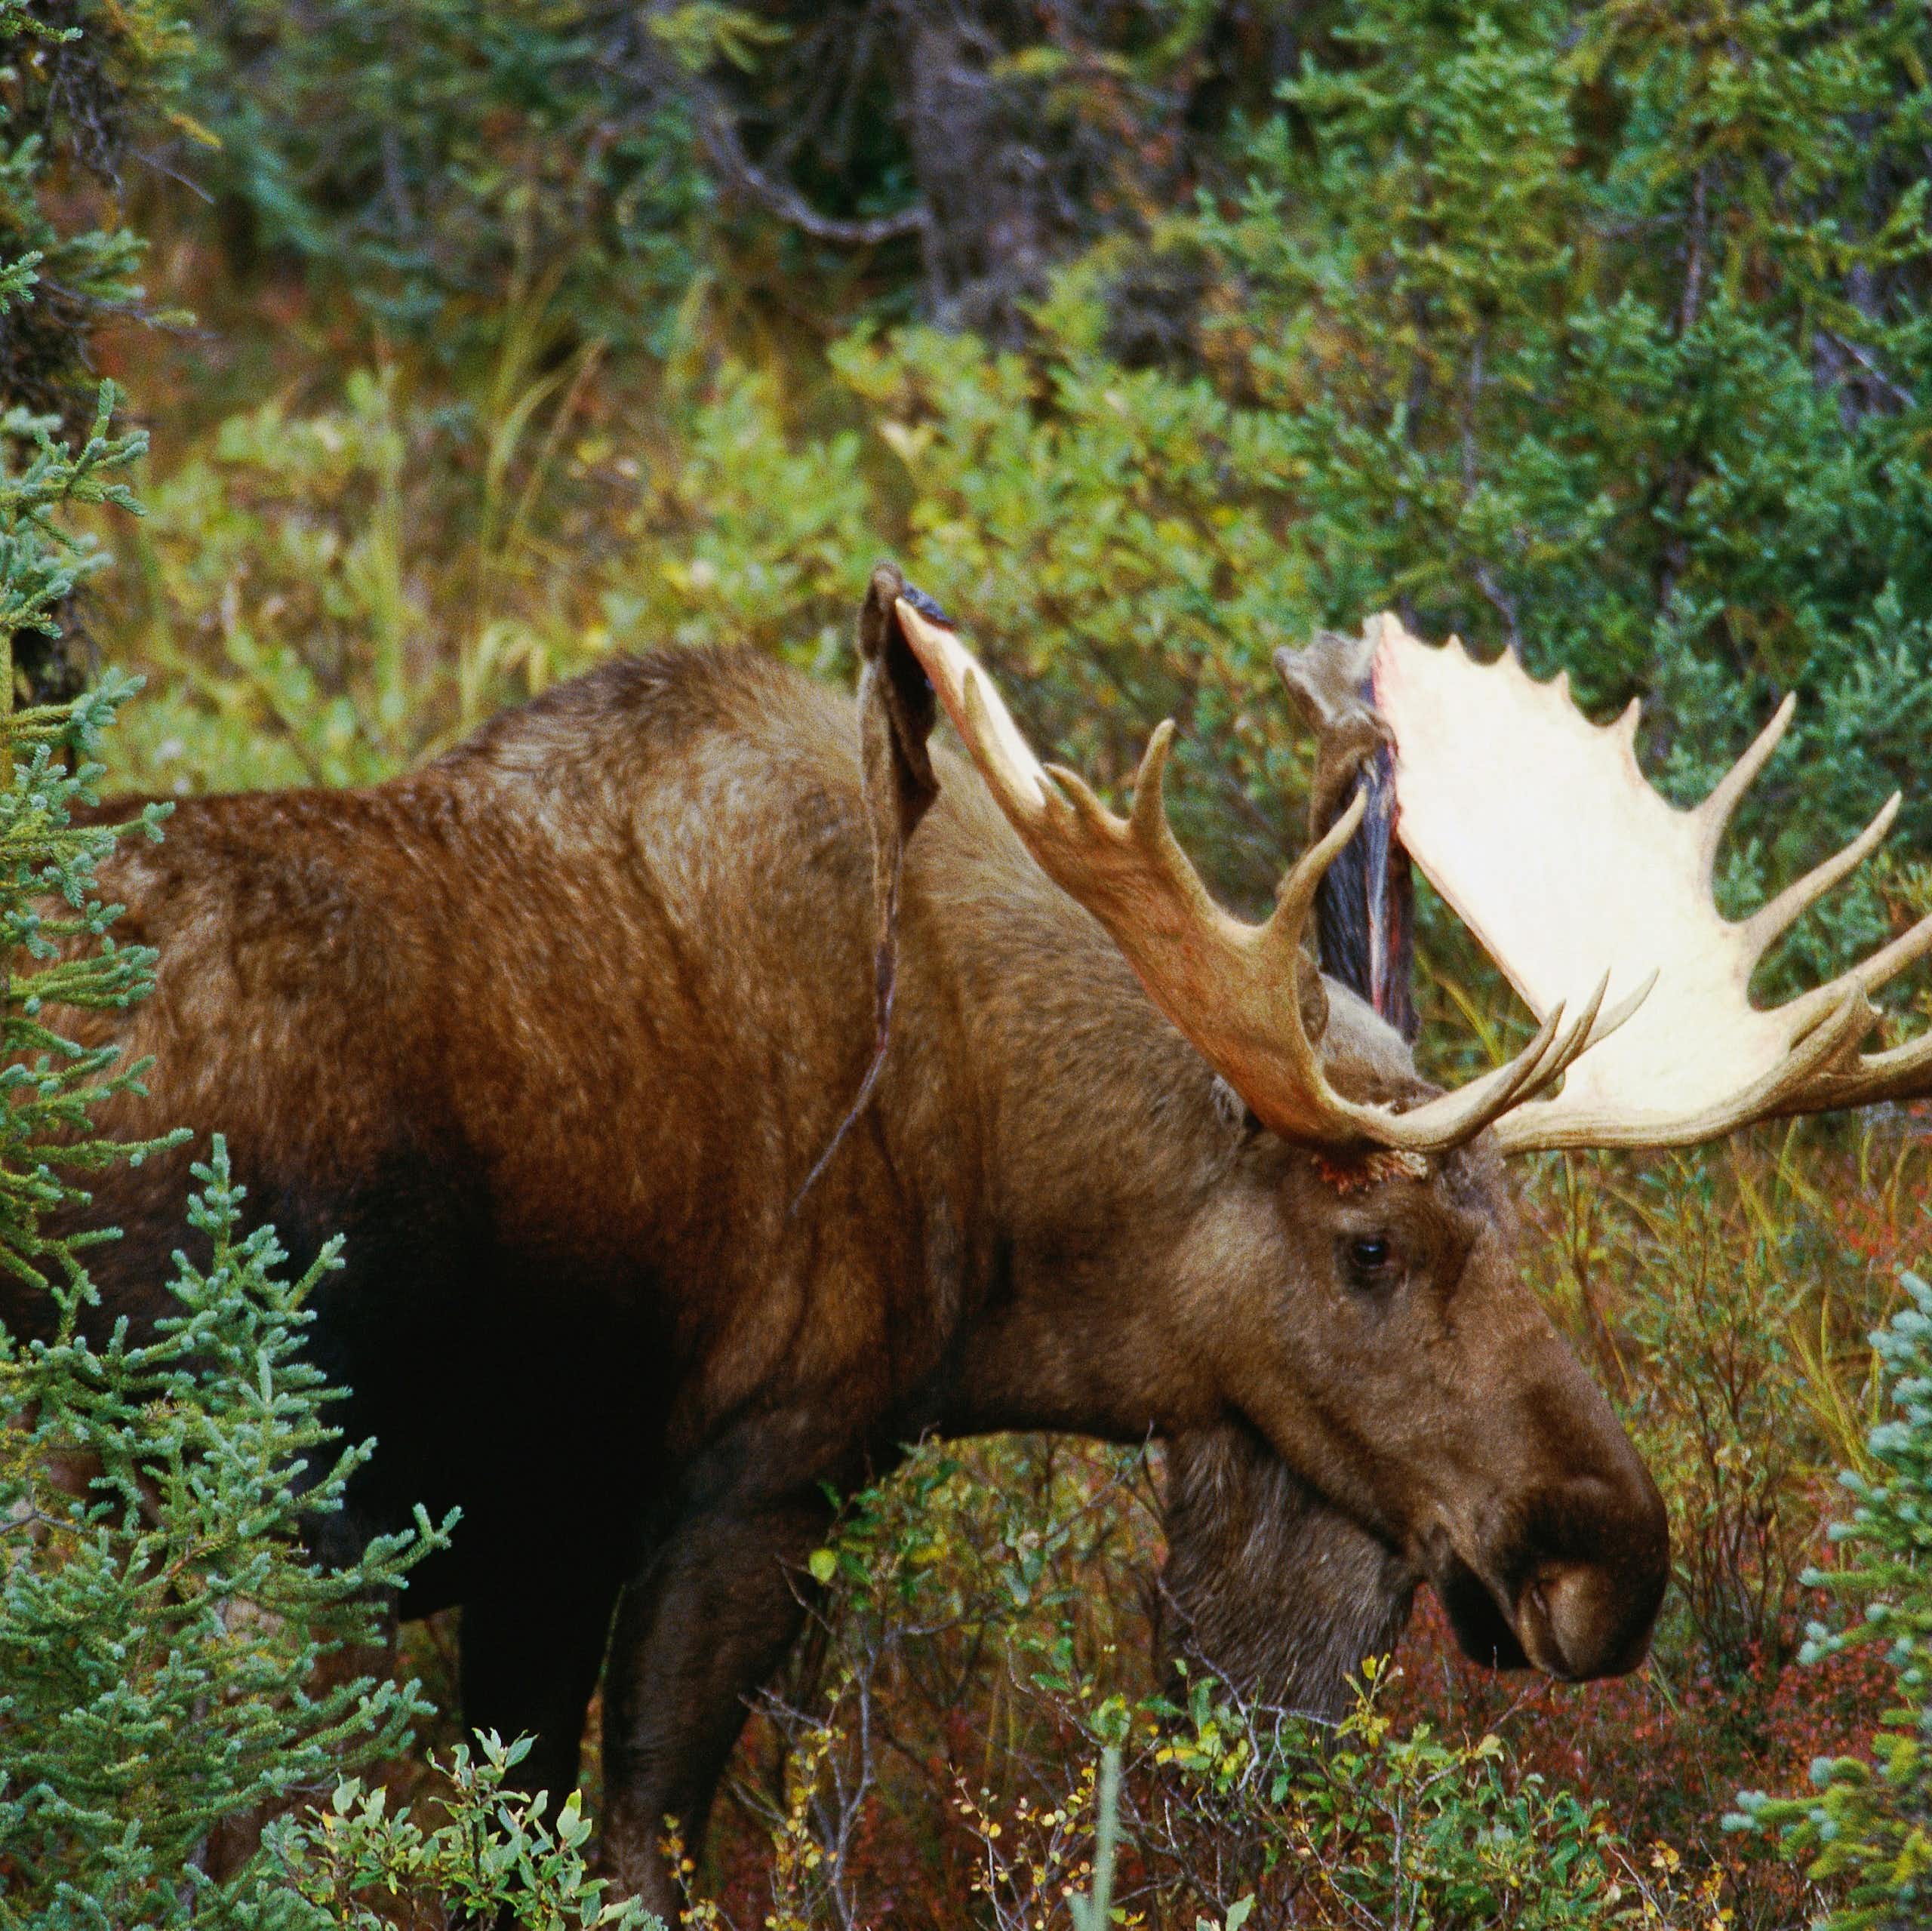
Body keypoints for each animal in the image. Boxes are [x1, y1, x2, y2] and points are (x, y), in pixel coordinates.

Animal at [20, 566, 1932, 1916]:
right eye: (1368, 1246)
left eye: (1521, 1224)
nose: (1605, 1557)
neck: (996, 1225)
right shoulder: (753, 1477)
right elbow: (630, 1847)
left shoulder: (539, 1538)